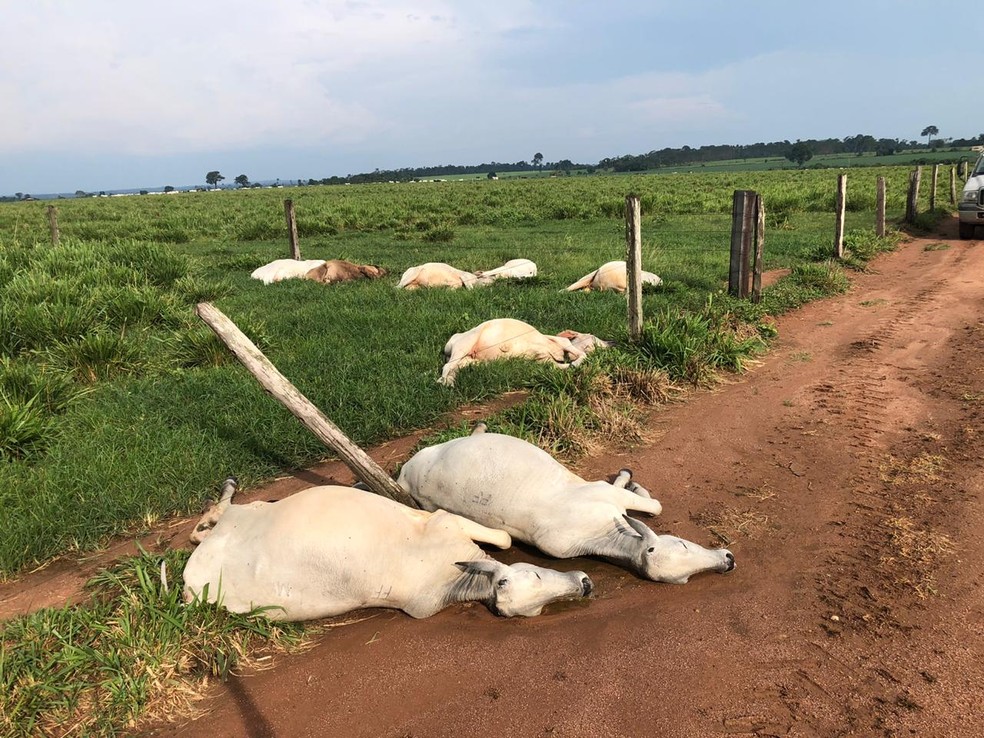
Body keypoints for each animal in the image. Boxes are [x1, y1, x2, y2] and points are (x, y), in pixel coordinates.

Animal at [184, 478, 592, 620]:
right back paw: (222, 496)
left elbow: (505, 539)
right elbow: (506, 538)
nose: (585, 585)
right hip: (245, 513)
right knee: (222, 511)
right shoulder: (444, 519)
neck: (449, 577)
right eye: (534, 573)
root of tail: (189, 580)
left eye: (539, 610)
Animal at [396, 428, 736, 584]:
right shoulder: (606, 495)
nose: (729, 560)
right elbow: (654, 506)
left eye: (684, 579)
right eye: (683, 544)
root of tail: (405, 477)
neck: (596, 533)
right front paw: (629, 478)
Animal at [436, 316, 612, 386]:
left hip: (470, 361)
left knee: (454, 368)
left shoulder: (547, 361)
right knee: (447, 366)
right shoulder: (556, 341)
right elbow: (574, 348)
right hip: (466, 342)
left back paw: (449, 381)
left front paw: (571, 365)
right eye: (593, 337)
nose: (612, 343)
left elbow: (557, 365)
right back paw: (443, 382)